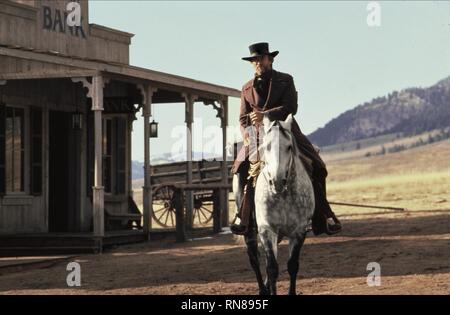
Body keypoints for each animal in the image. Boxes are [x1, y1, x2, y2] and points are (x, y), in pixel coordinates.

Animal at [234, 114, 314, 296]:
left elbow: (292, 266)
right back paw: (263, 289)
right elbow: (272, 268)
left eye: (289, 147)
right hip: (249, 231)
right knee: (254, 259)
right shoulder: (266, 230)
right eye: (266, 146)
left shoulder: (299, 231)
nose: (276, 181)